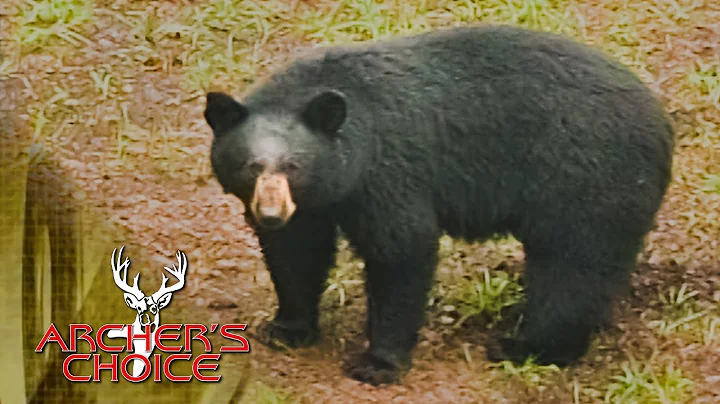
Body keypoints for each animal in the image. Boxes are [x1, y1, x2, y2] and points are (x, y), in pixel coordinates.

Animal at [202, 24, 675, 386]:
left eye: (294, 166)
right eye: (249, 166)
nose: (271, 215)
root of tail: (661, 122)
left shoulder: (387, 172)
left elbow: (401, 251)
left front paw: (377, 363)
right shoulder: (314, 204)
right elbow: (297, 254)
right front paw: (286, 328)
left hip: (585, 179)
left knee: (571, 267)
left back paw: (528, 346)